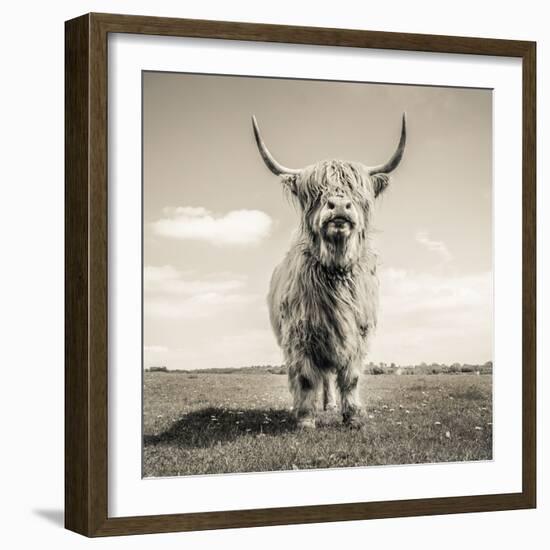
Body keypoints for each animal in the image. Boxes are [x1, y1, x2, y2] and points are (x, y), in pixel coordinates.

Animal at [253, 114, 406, 430]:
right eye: (314, 192)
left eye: (358, 193)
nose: (338, 206)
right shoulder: (300, 336)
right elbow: (305, 378)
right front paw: (305, 419)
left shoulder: (358, 335)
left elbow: (351, 377)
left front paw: (353, 417)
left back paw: (331, 405)